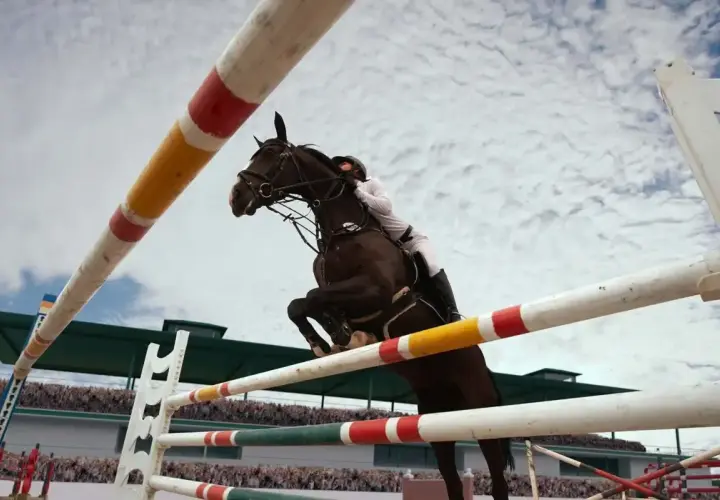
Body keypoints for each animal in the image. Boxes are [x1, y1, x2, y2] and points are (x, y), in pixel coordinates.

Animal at [229, 112, 514, 500]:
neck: (344, 230)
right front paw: (333, 338)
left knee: (496, 469)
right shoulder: (337, 290)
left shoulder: (375, 291)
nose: (236, 196)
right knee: (450, 474)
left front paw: (337, 336)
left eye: (273, 155)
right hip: (435, 415)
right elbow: (300, 304)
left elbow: (310, 299)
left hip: (478, 408)